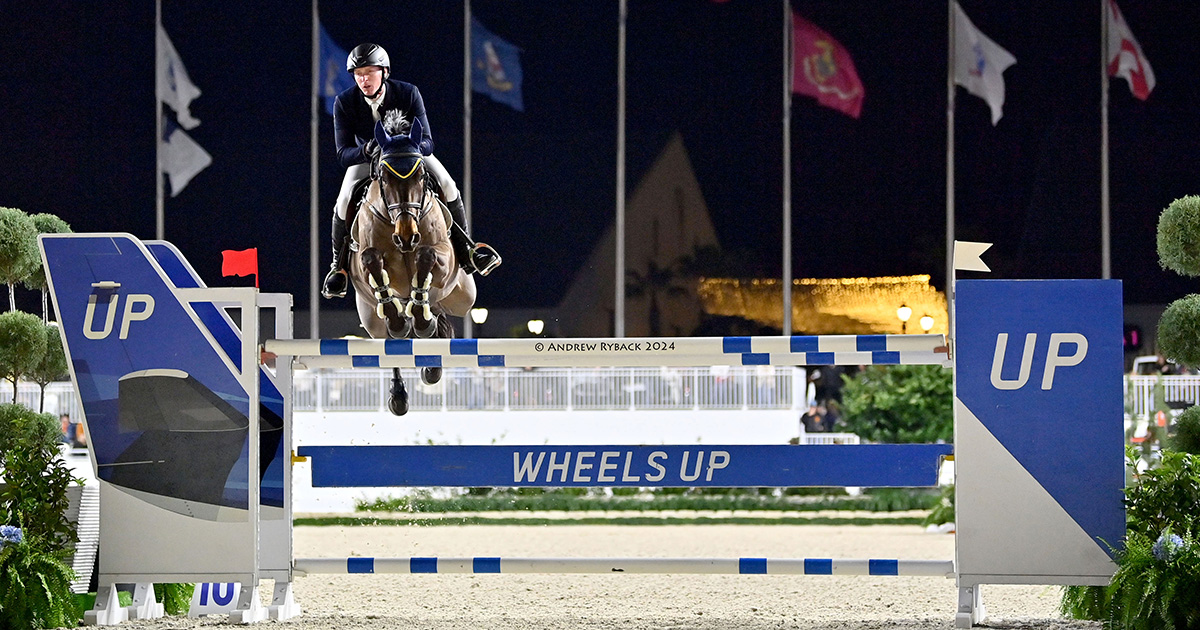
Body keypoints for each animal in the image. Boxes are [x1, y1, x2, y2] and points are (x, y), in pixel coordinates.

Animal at [345, 118, 475, 415]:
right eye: (384, 177)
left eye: (421, 176)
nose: (407, 237)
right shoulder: (365, 263)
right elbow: (371, 260)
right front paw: (399, 317)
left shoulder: (444, 261)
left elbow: (427, 256)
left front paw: (420, 316)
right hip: (371, 319)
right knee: (391, 342)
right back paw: (399, 395)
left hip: (463, 296)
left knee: (436, 319)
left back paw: (428, 346)